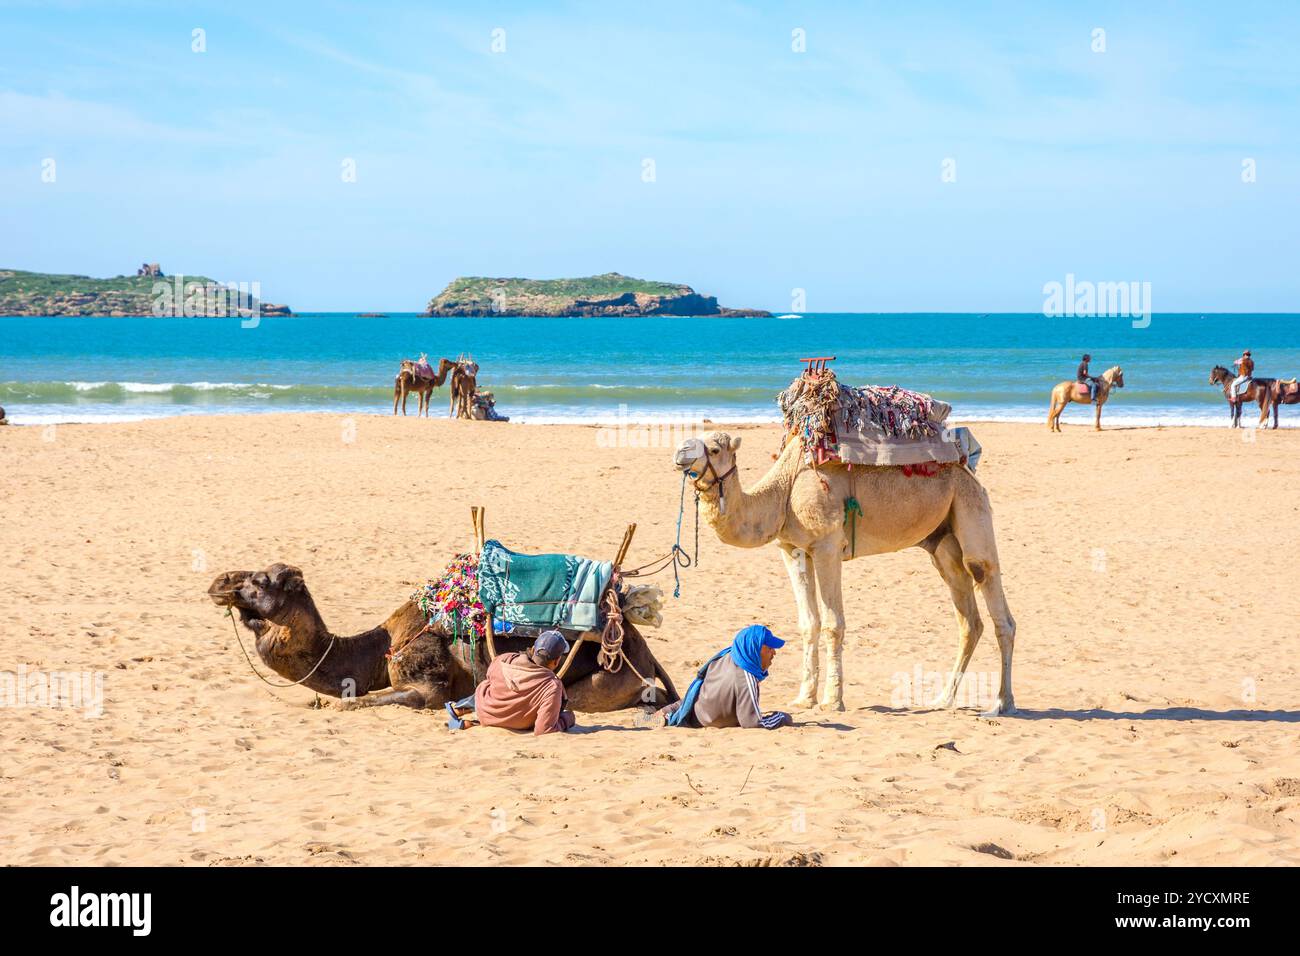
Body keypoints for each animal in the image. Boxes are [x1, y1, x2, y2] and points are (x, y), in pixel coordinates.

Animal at [205, 564, 681, 712]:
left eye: (261, 581)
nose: (219, 581)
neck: (379, 649)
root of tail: (644, 651)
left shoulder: (426, 681)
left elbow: (360, 700)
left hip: (607, 679)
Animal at [676, 437, 1019, 712]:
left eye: (715, 448)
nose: (680, 452)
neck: (783, 492)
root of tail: (968, 470)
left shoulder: (827, 545)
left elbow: (832, 624)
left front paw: (832, 700)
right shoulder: (792, 548)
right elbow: (808, 624)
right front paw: (804, 698)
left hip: (970, 506)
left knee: (994, 595)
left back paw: (1002, 703)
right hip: (942, 543)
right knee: (969, 620)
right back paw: (943, 699)